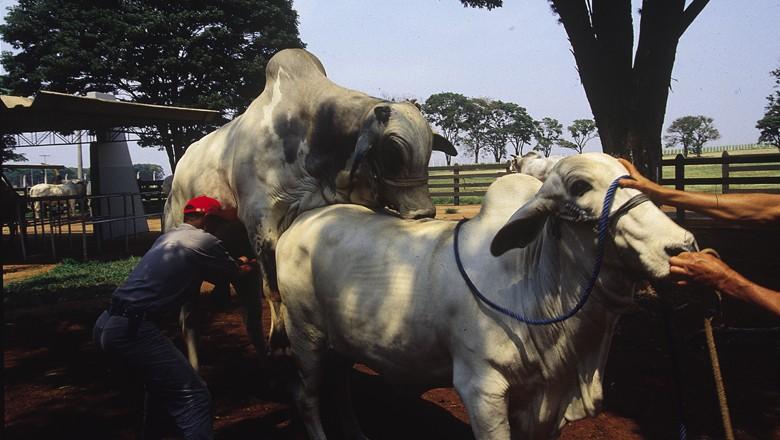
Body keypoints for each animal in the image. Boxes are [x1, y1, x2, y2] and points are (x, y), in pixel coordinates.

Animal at [165, 48, 458, 370]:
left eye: (428, 150)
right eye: (392, 151)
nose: (423, 213)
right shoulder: (261, 221)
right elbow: (274, 289)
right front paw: (282, 342)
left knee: (249, 312)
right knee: (189, 315)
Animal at [274, 152, 696, 440]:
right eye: (580, 186)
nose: (679, 247)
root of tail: (304, 219)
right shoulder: (481, 389)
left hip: (343, 338)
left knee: (339, 385)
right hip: (306, 335)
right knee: (306, 395)